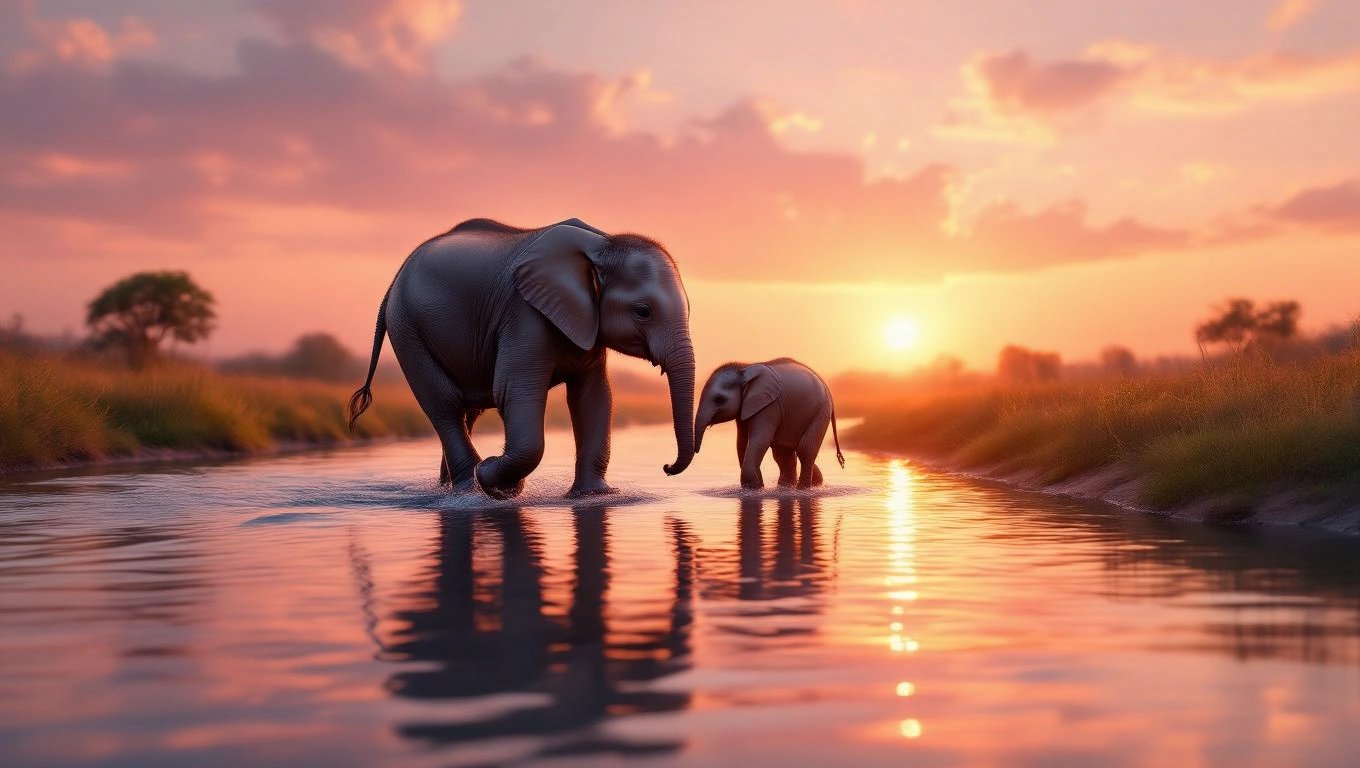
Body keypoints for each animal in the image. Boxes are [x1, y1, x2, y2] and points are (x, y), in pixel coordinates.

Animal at [347, 218, 696, 499]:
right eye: (643, 311)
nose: (666, 467)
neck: (602, 242)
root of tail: (394, 281)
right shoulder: (523, 315)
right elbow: (516, 392)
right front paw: (495, 481)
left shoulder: (586, 323)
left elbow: (594, 397)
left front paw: (594, 497)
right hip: (408, 330)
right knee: (444, 405)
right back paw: (469, 490)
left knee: (466, 411)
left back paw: (452, 488)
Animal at [694, 358, 845, 489]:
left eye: (719, 399)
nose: (696, 450)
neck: (744, 368)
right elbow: (741, 442)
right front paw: (757, 488)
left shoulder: (769, 407)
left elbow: (760, 440)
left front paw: (754, 488)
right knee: (783, 453)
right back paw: (793, 487)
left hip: (821, 411)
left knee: (804, 449)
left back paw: (802, 489)